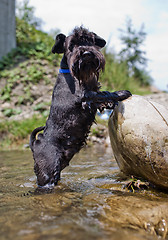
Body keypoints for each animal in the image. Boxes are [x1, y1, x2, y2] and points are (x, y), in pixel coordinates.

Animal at [29, 26, 131, 188]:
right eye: (72, 45)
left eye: (90, 40)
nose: (87, 53)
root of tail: (35, 144)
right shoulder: (86, 97)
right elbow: (104, 93)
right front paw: (121, 93)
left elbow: (102, 97)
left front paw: (111, 103)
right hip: (48, 172)